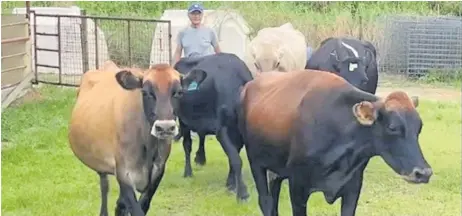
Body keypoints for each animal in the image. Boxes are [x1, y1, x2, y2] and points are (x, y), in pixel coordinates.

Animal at [67, 63, 195, 216]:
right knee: (104, 187)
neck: (147, 146)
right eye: (145, 92)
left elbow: (141, 205)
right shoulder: (124, 173)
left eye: (179, 92)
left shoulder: (158, 172)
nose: (165, 127)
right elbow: (135, 209)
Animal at [174, 52, 253, 201]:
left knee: (201, 135)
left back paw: (200, 158)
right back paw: (188, 172)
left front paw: (230, 183)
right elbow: (236, 159)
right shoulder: (222, 131)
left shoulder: (238, 135)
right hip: (183, 121)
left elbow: (233, 157)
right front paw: (242, 193)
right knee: (187, 145)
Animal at [238, 69, 434, 216]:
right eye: (393, 127)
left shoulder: (353, 188)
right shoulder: (297, 187)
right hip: (256, 162)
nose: (423, 173)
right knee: (266, 201)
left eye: (419, 127)